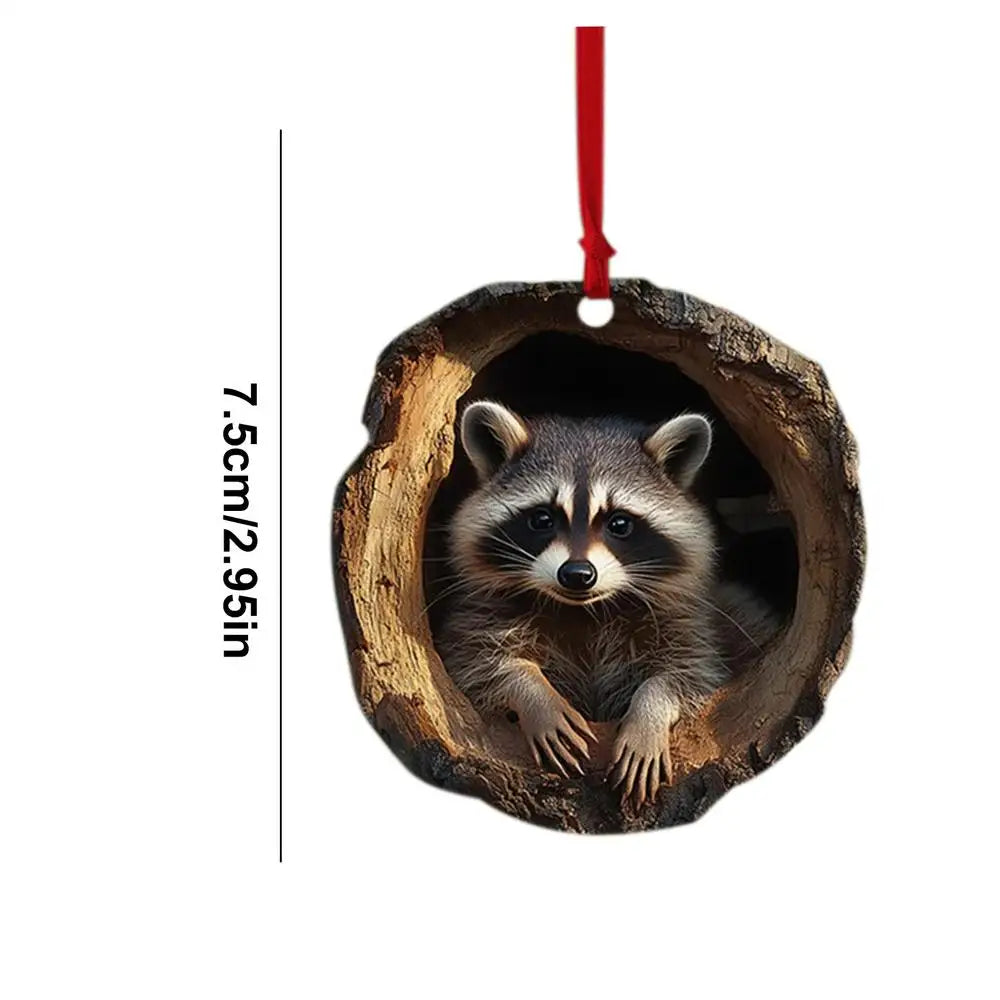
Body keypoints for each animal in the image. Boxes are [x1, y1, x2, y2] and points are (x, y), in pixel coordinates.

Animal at [437, 400, 779, 807]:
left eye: (619, 523)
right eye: (542, 518)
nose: (577, 574)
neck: (585, 610)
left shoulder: (687, 620)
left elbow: (691, 675)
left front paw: (649, 713)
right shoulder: (482, 613)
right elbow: (475, 662)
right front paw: (533, 692)